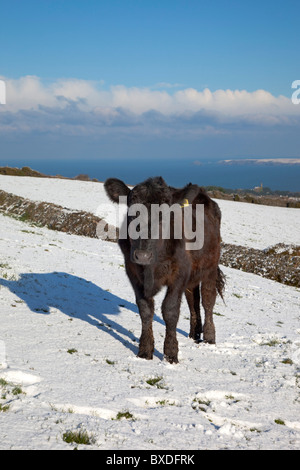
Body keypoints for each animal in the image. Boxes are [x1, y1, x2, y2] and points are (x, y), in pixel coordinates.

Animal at [104, 176, 224, 364]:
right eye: (132, 212)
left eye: (165, 215)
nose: (143, 256)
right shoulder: (133, 272)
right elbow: (145, 309)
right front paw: (145, 351)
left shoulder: (179, 274)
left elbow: (170, 310)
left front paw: (171, 353)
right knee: (193, 300)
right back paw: (194, 334)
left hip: (210, 268)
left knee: (208, 300)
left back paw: (209, 337)